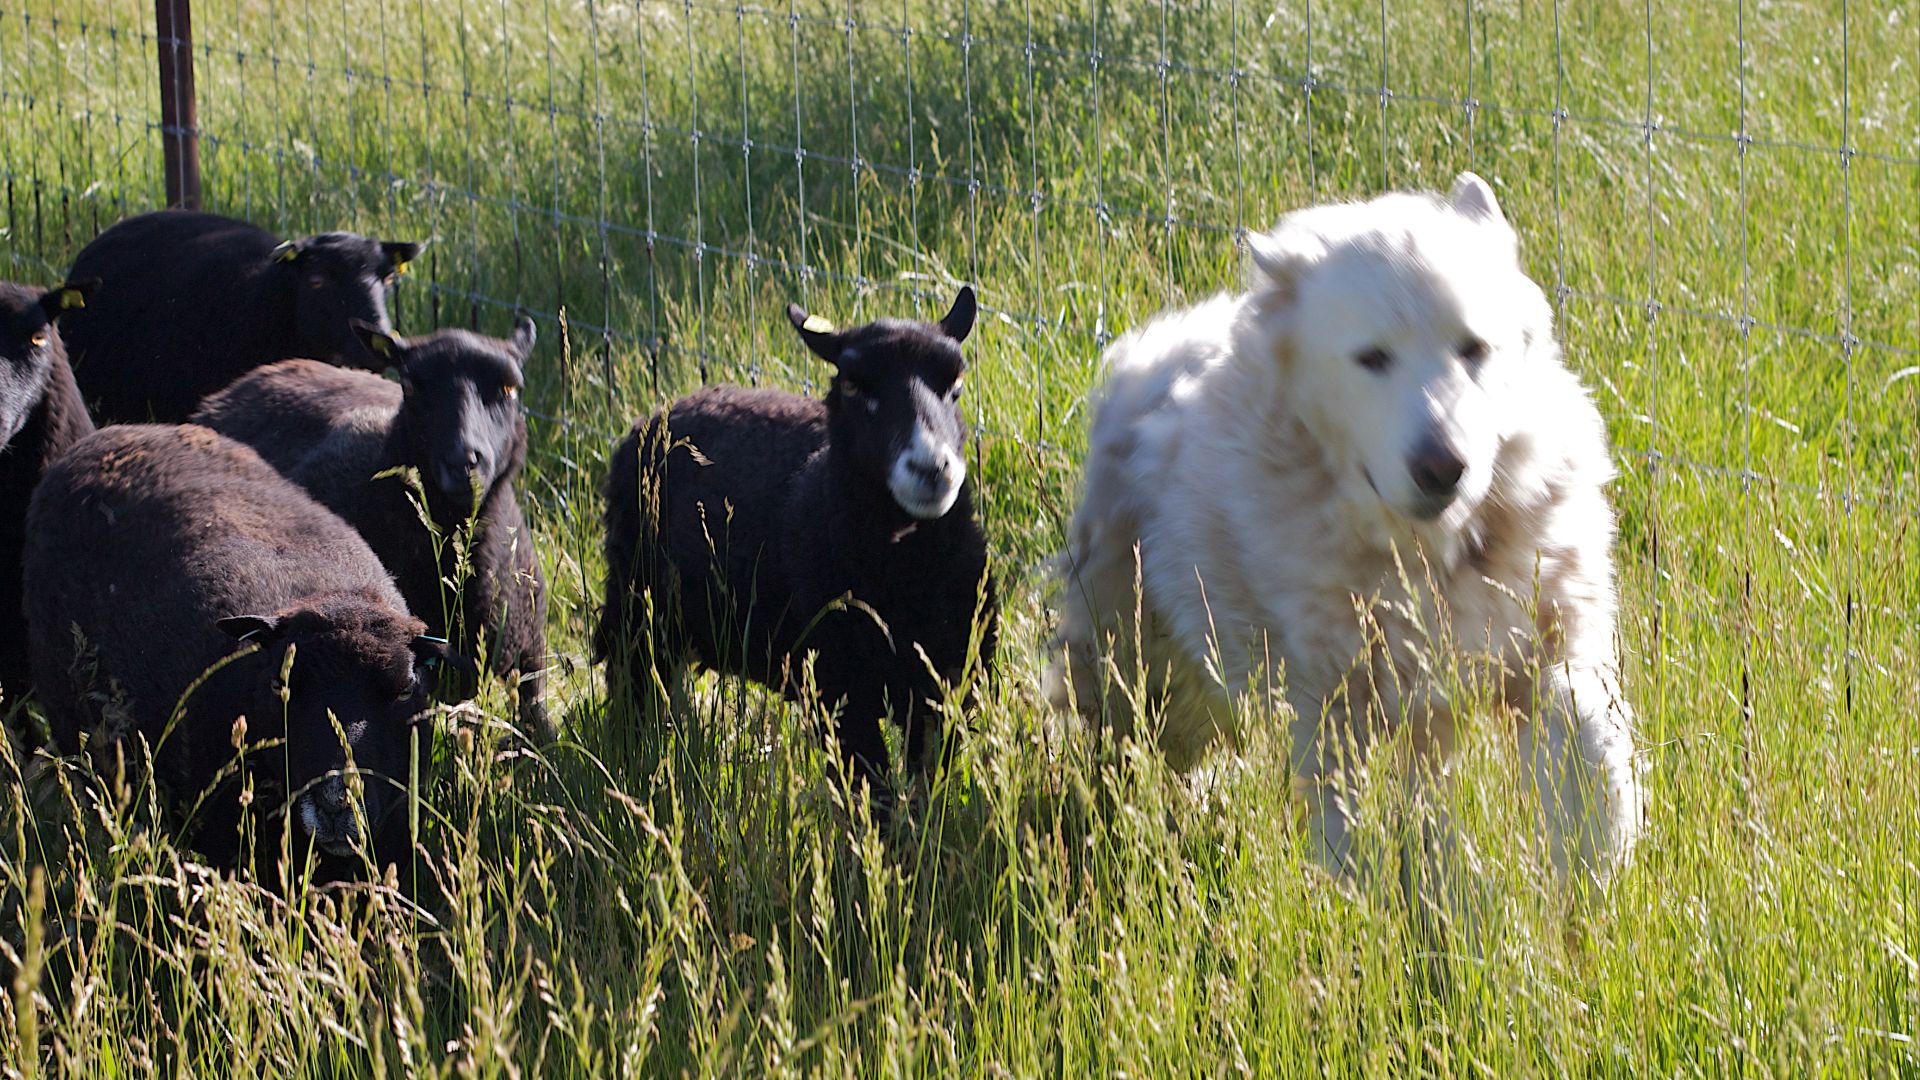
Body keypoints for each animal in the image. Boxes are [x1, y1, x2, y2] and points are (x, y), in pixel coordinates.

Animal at [597, 288, 997, 797]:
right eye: (852, 387)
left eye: (957, 381)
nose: (930, 468)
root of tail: (663, 411)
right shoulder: (839, 697)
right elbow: (873, 799)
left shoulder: (946, 690)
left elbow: (929, 792)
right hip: (636, 610)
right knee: (632, 696)